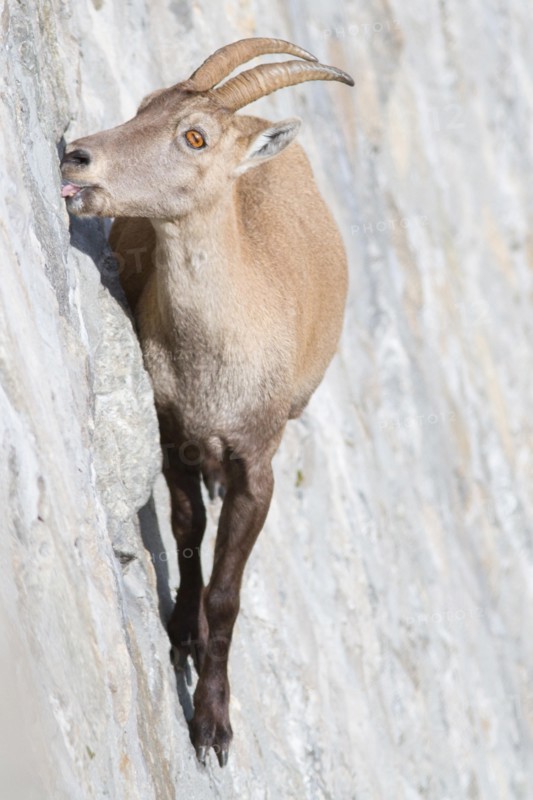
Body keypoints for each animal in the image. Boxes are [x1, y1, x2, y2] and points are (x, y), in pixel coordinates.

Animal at [61, 37, 353, 767]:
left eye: (194, 137)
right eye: (144, 105)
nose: (76, 154)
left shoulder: (259, 465)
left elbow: (228, 593)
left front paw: (212, 725)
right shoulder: (173, 432)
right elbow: (189, 533)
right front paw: (180, 635)